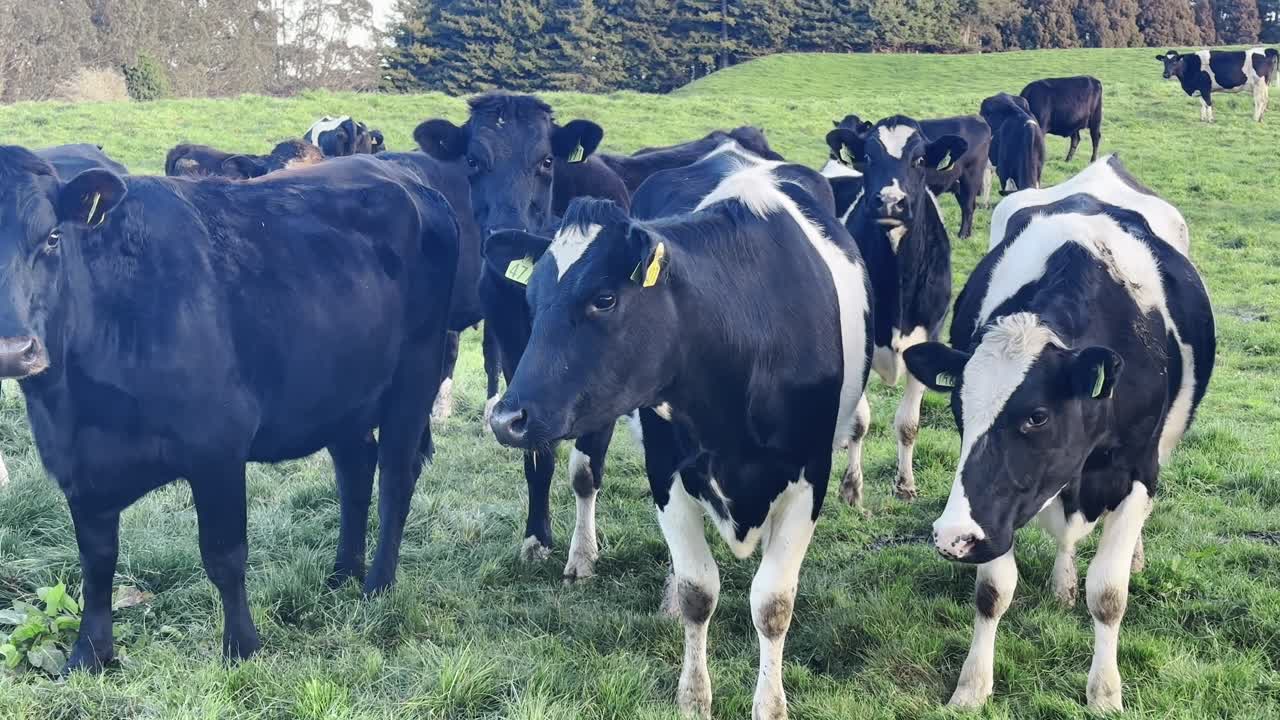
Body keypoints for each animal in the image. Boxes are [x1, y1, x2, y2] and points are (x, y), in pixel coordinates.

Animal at [0, 146, 459, 672]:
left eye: (53, 237)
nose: (14, 351)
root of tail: (409, 179)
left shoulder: (217, 447)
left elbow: (224, 555)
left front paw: (242, 648)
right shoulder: (76, 463)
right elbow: (96, 561)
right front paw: (89, 654)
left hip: (414, 377)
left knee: (395, 478)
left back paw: (377, 586)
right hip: (343, 392)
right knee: (355, 472)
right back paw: (342, 573)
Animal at [414, 92, 632, 577]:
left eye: (546, 160)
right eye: (472, 161)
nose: (506, 233)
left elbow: (586, 470)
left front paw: (582, 555)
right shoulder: (518, 364)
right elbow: (537, 457)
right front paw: (537, 539)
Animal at [485, 158, 872, 720]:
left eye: (604, 298)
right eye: (533, 300)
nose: (505, 418)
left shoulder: (809, 478)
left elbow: (773, 603)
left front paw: (770, 704)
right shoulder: (666, 471)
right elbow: (698, 591)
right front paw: (694, 696)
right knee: (585, 477)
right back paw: (585, 557)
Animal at [825, 115, 965, 505]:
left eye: (919, 160)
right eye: (870, 157)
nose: (890, 201)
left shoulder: (927, 344)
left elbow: (908, 425)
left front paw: (905, 485)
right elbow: (860, 422)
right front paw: (851, 487)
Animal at [903, 172, 1214, 713]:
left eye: (1037, 416)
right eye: (959, 410)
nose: (952, 537)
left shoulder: (1138, 471)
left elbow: (1109, 594)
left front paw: (1105, 693)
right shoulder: (998, 509)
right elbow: (993, 591)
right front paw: (971, 687)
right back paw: (1062, 583)